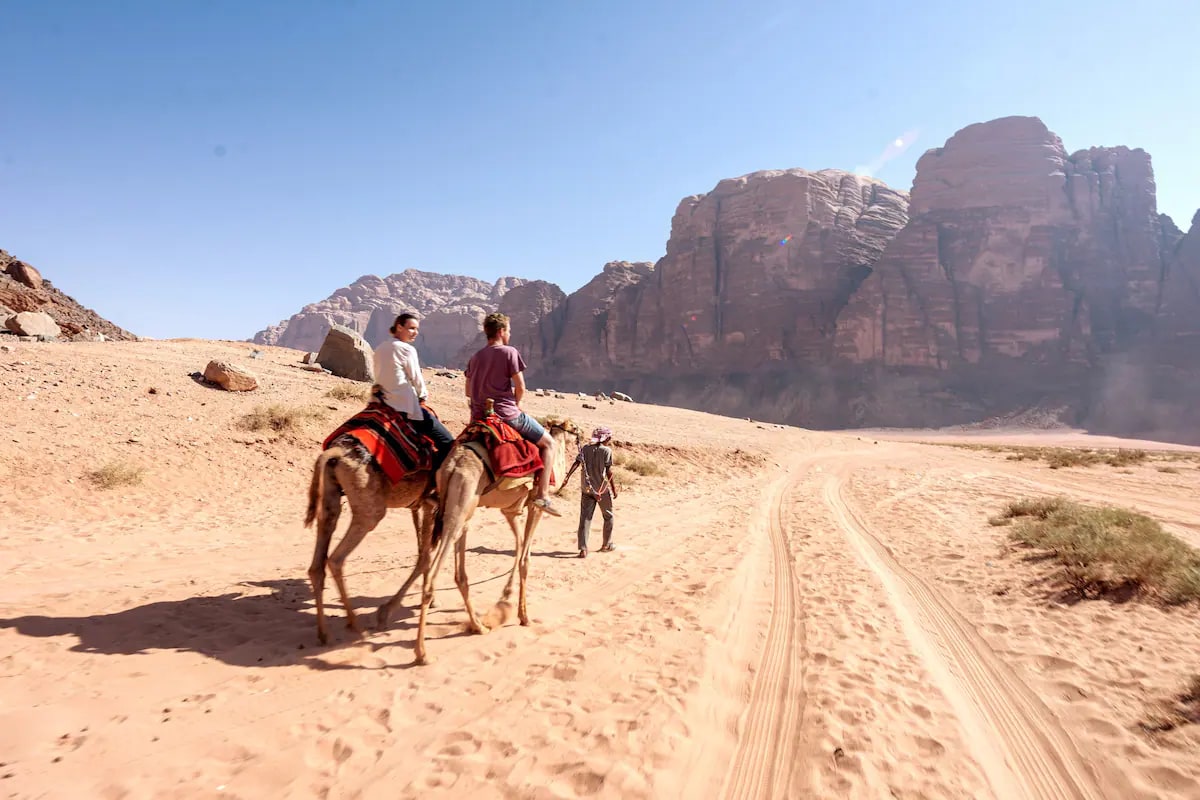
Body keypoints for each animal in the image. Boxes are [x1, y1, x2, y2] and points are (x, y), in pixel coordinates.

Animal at [304, 434, 436, 647]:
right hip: (369, 508)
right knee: (336, 559)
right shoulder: (433, 503)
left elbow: (423, 551)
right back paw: (357, 627)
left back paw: (324, 634)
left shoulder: (421, 504)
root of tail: (336, 452)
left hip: (330, 496)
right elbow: (426, 556)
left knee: (318, 561)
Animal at [374, 417, 580, 666]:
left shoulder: (510, 511)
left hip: (455, 508)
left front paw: (506, 599)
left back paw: (474, 626)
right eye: (575, 429)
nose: (582, 435)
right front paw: (523, 615)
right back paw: (422, 652)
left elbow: (519, 546)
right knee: (433, 571)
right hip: (460, 506)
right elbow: (525, 559)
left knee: (444, 567)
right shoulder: (534, 506)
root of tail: (453, 465)